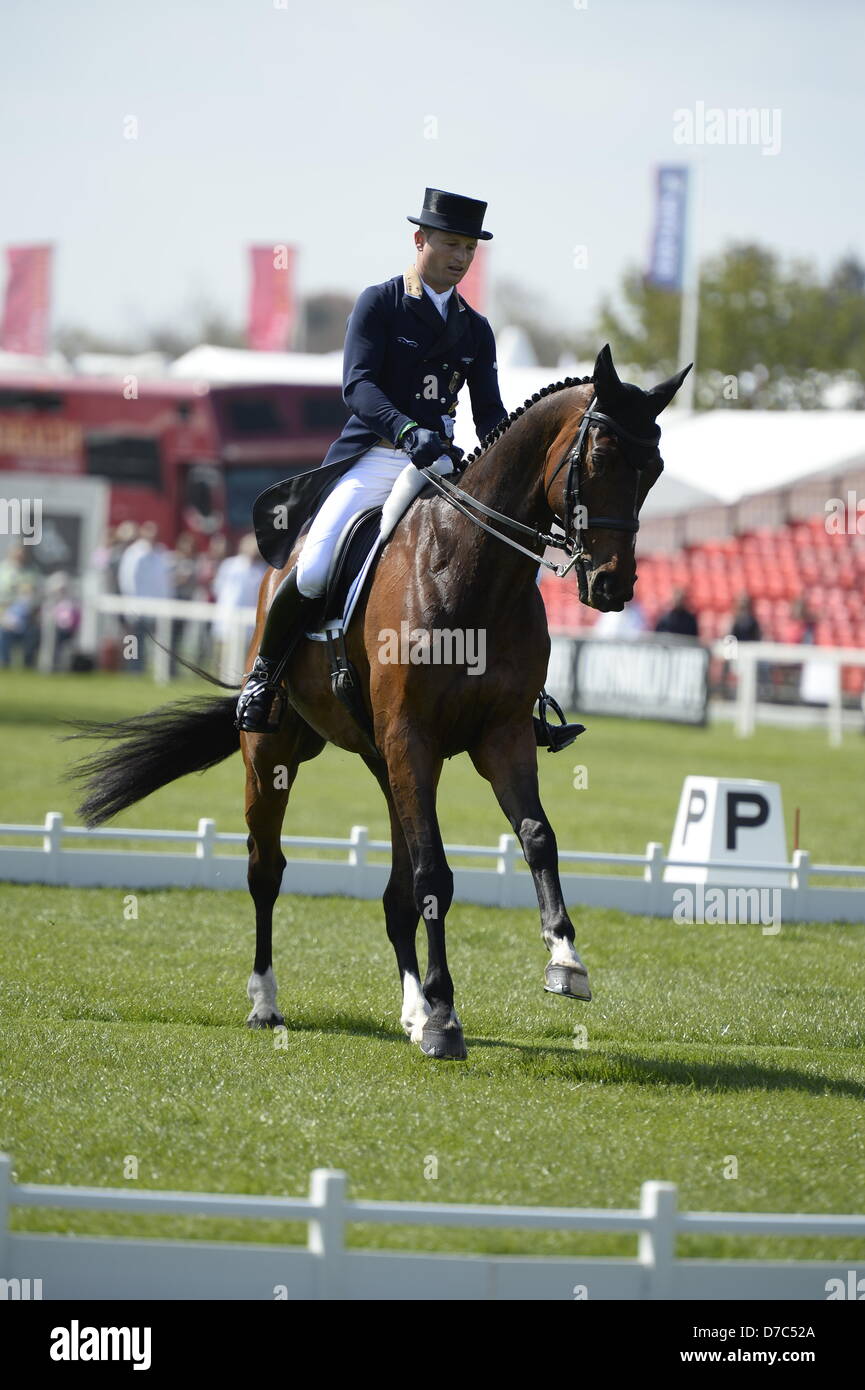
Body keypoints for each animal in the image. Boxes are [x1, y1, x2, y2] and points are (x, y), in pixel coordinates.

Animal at [69, 347, 692, 1061]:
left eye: (655, 469)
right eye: (600, 458)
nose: (613, 587)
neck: (469, 572)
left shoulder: (499, 736)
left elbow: (536, 838)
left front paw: (563, 961)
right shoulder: (411, 738)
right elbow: (436, 878)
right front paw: (447, 1018)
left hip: (386, 763)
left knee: (396, 891)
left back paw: (412, 1011)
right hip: (277, 754)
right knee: (267, 870)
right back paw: (268, 1002)